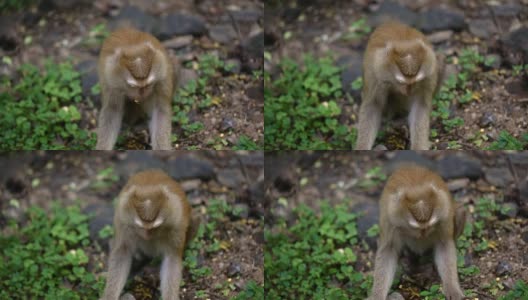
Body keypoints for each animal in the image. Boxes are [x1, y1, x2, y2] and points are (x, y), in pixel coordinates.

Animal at [101, 170, 196, 298]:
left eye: (156, 227)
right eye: (140, 226)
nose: (147, 235)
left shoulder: (177, 222)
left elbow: (172, 258)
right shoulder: (123, 220)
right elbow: (122, 253)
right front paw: (110, 295)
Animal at [354, 21, 442, 150]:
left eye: (415, 82)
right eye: (401, 82)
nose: (408, 92)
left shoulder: (429, 73)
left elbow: (421, 105)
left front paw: (419, 147)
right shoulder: (375, 74)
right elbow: (373, 105)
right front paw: (362, 147)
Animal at [368, 165, 466, 298]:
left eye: (430, 226)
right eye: (415, 228)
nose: (423, 235)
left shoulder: (444, 213)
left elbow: (444, 244)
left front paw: (452, 288)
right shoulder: (390, 219)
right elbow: (388, 250)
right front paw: (377, 295)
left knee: (460, 212)